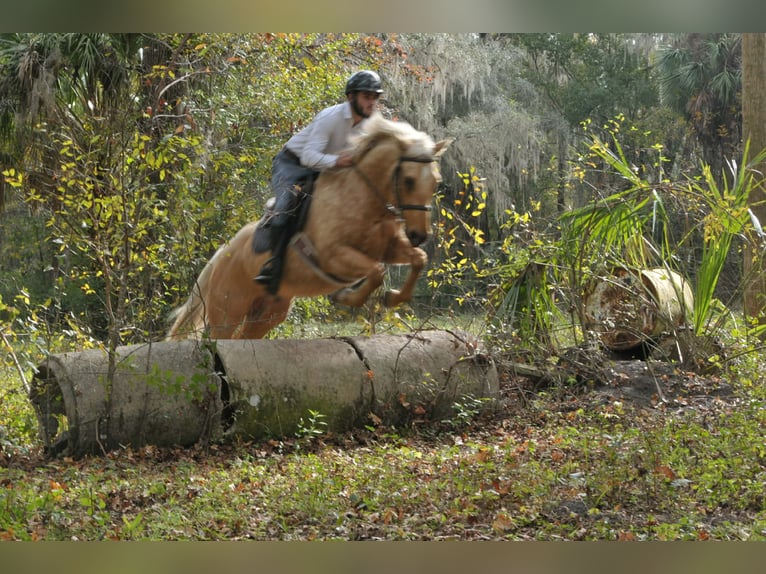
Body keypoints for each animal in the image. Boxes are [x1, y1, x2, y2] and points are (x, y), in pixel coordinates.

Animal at [166, 113, 453, 340]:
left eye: (436, 181)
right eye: (408, 180)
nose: (419, 234)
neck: (364, 199)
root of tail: (221, 255)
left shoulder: (389, 248)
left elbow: (418, 259)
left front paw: (393, 297)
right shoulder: (332, 256)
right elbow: (376, 271)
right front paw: (346, 298)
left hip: (269, 312)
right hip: (228, 311)